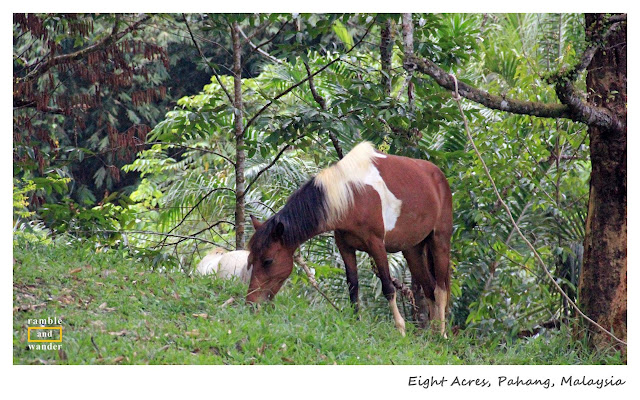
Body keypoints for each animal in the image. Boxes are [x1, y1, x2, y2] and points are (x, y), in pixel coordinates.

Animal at [244, 142, 450, 336]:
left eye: (268, 261)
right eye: (251, 260)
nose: (250, 304)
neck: (351, 195)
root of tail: (438, 175)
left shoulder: (376, 244)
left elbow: (387, 287)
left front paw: (400, 329)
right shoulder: (345, 246)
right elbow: (353, 286)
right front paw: (355, 323)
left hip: (439, 241)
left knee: (440, 290)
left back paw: (441, 335)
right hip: (412, 249)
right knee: (429, 288)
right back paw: (432, 336)